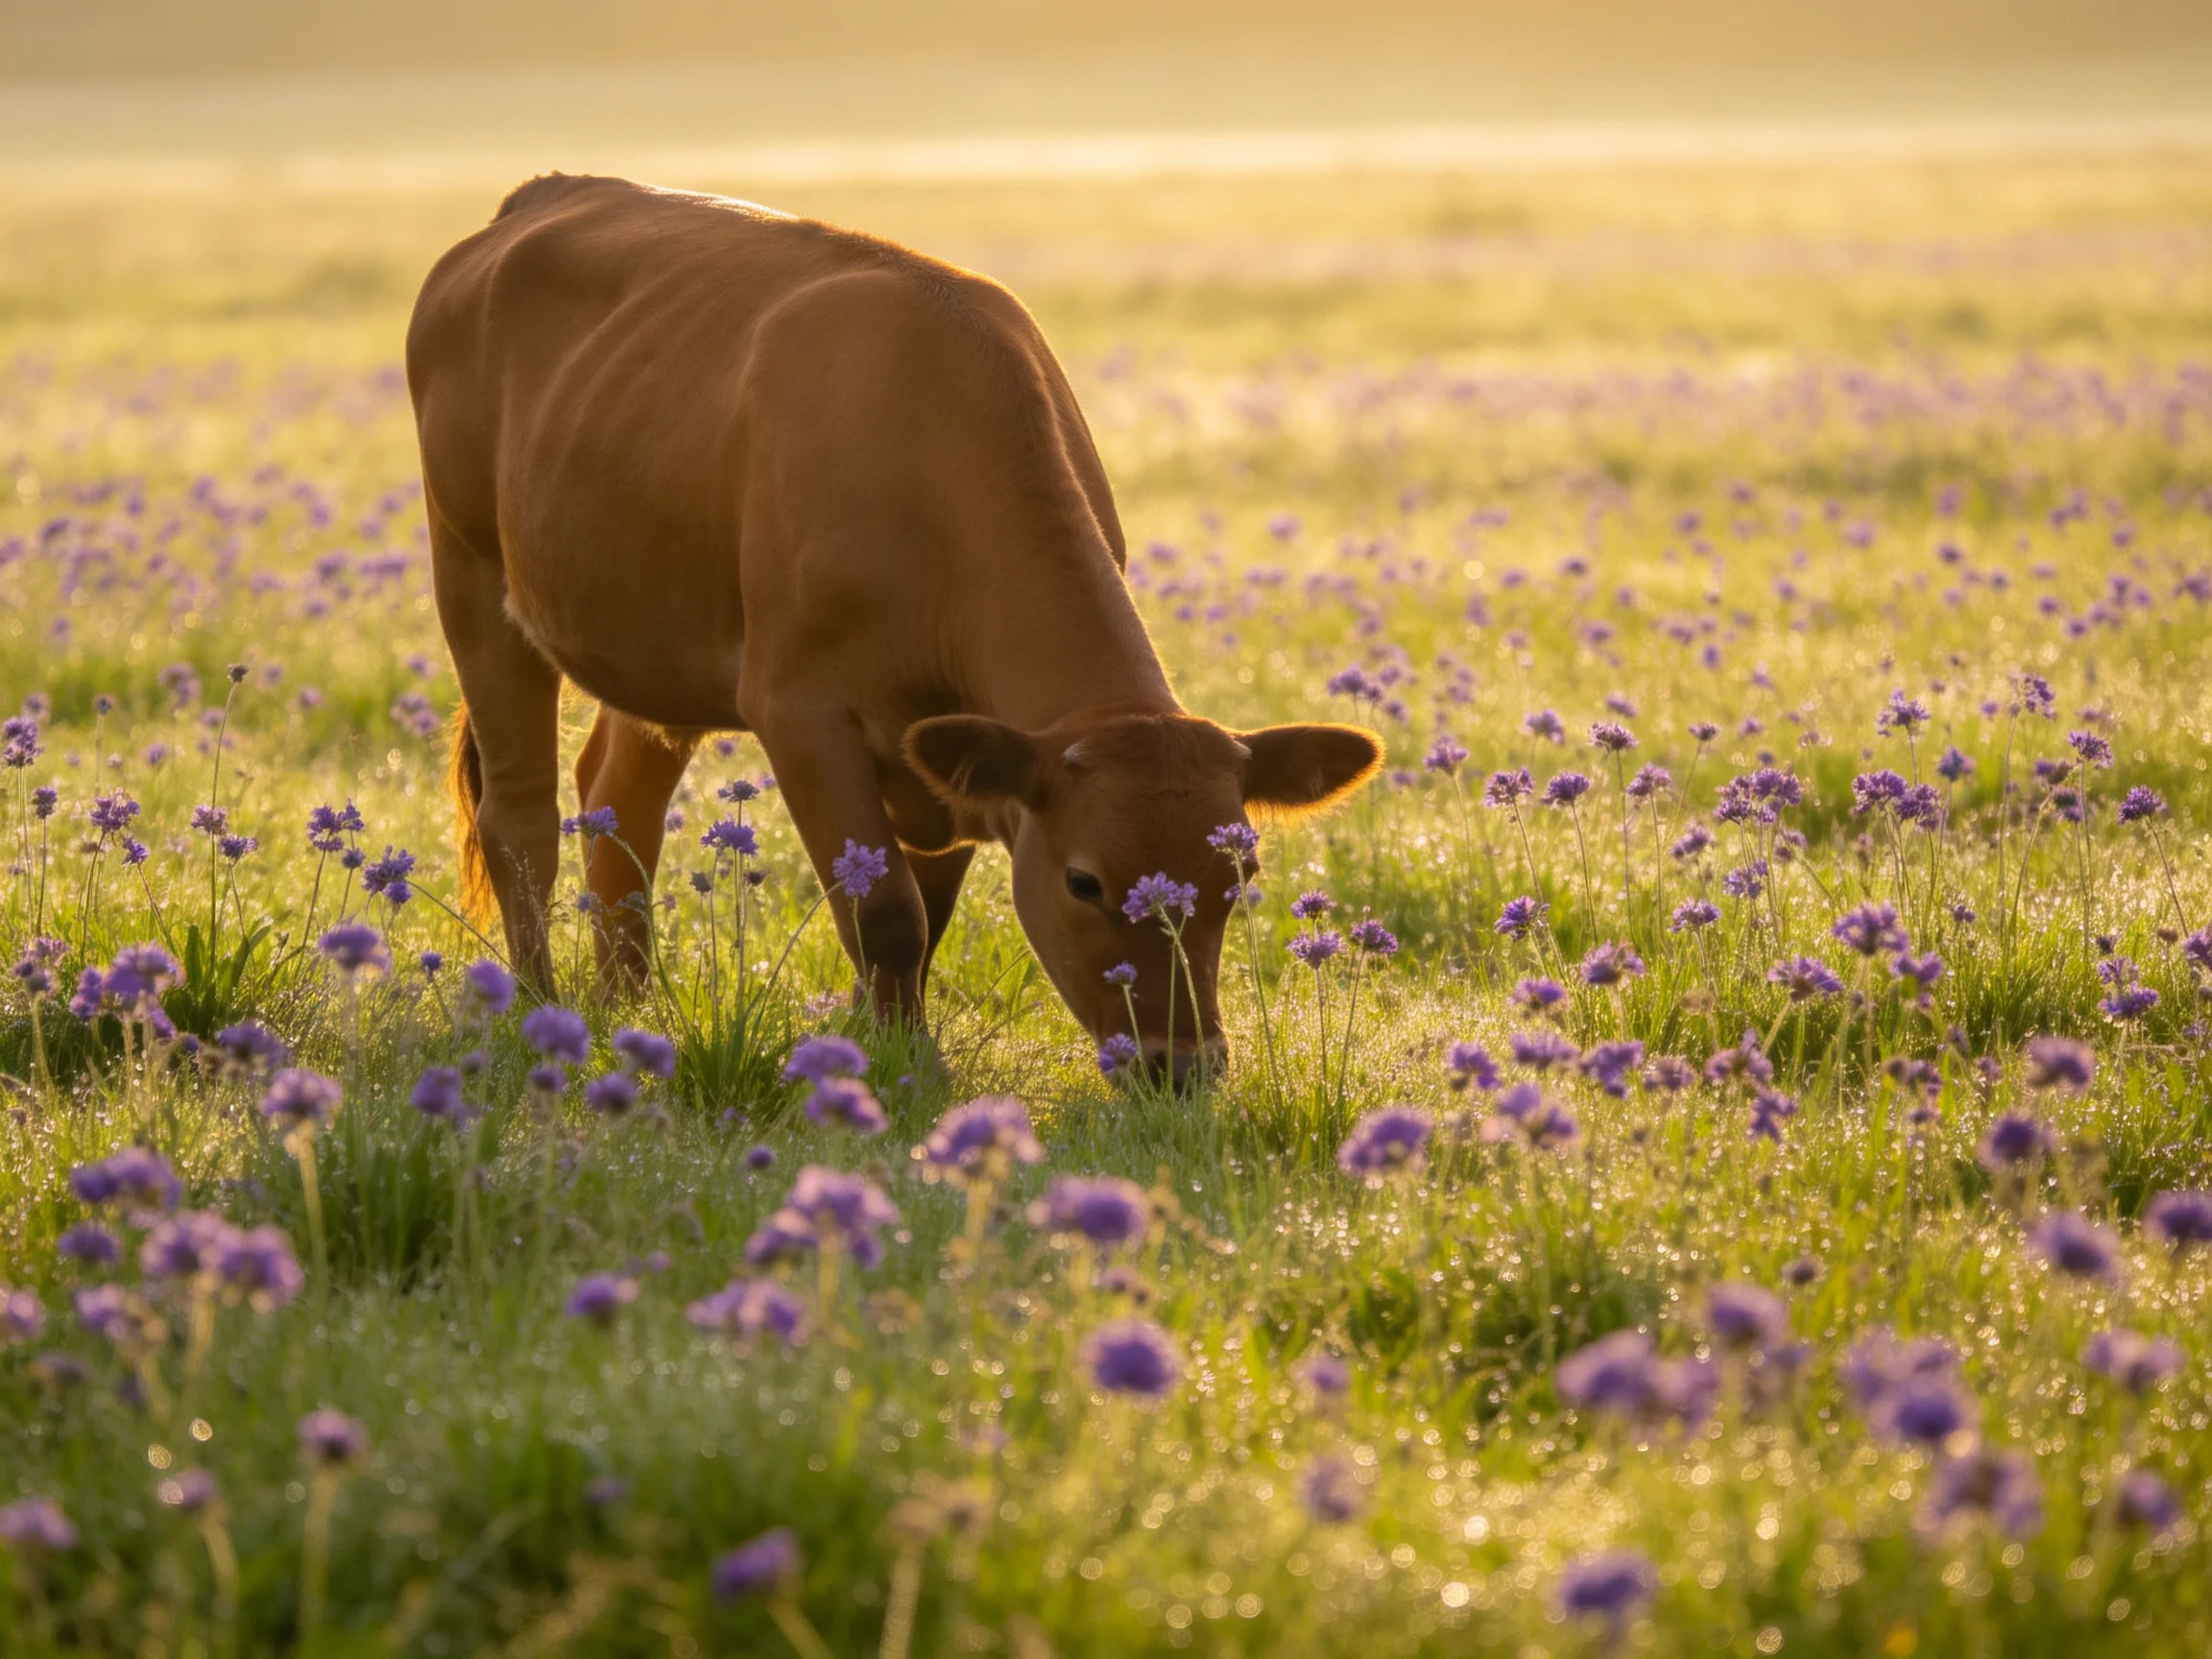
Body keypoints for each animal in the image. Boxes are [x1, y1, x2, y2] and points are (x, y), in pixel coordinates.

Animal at [406, 174, 1381, 1085]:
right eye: (1084, 881)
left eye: (1237, 879)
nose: (1179, 1066)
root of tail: (542, 197)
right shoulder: (799, 710)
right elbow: (883, 912)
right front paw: (906, 1066)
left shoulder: (953, 764)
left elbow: (927, 909)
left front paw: (895, 1042)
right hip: (471, 575)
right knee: (521, 817)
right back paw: (539, 1004)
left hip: (652, 634)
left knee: (619, 800)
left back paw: (623, 1007)